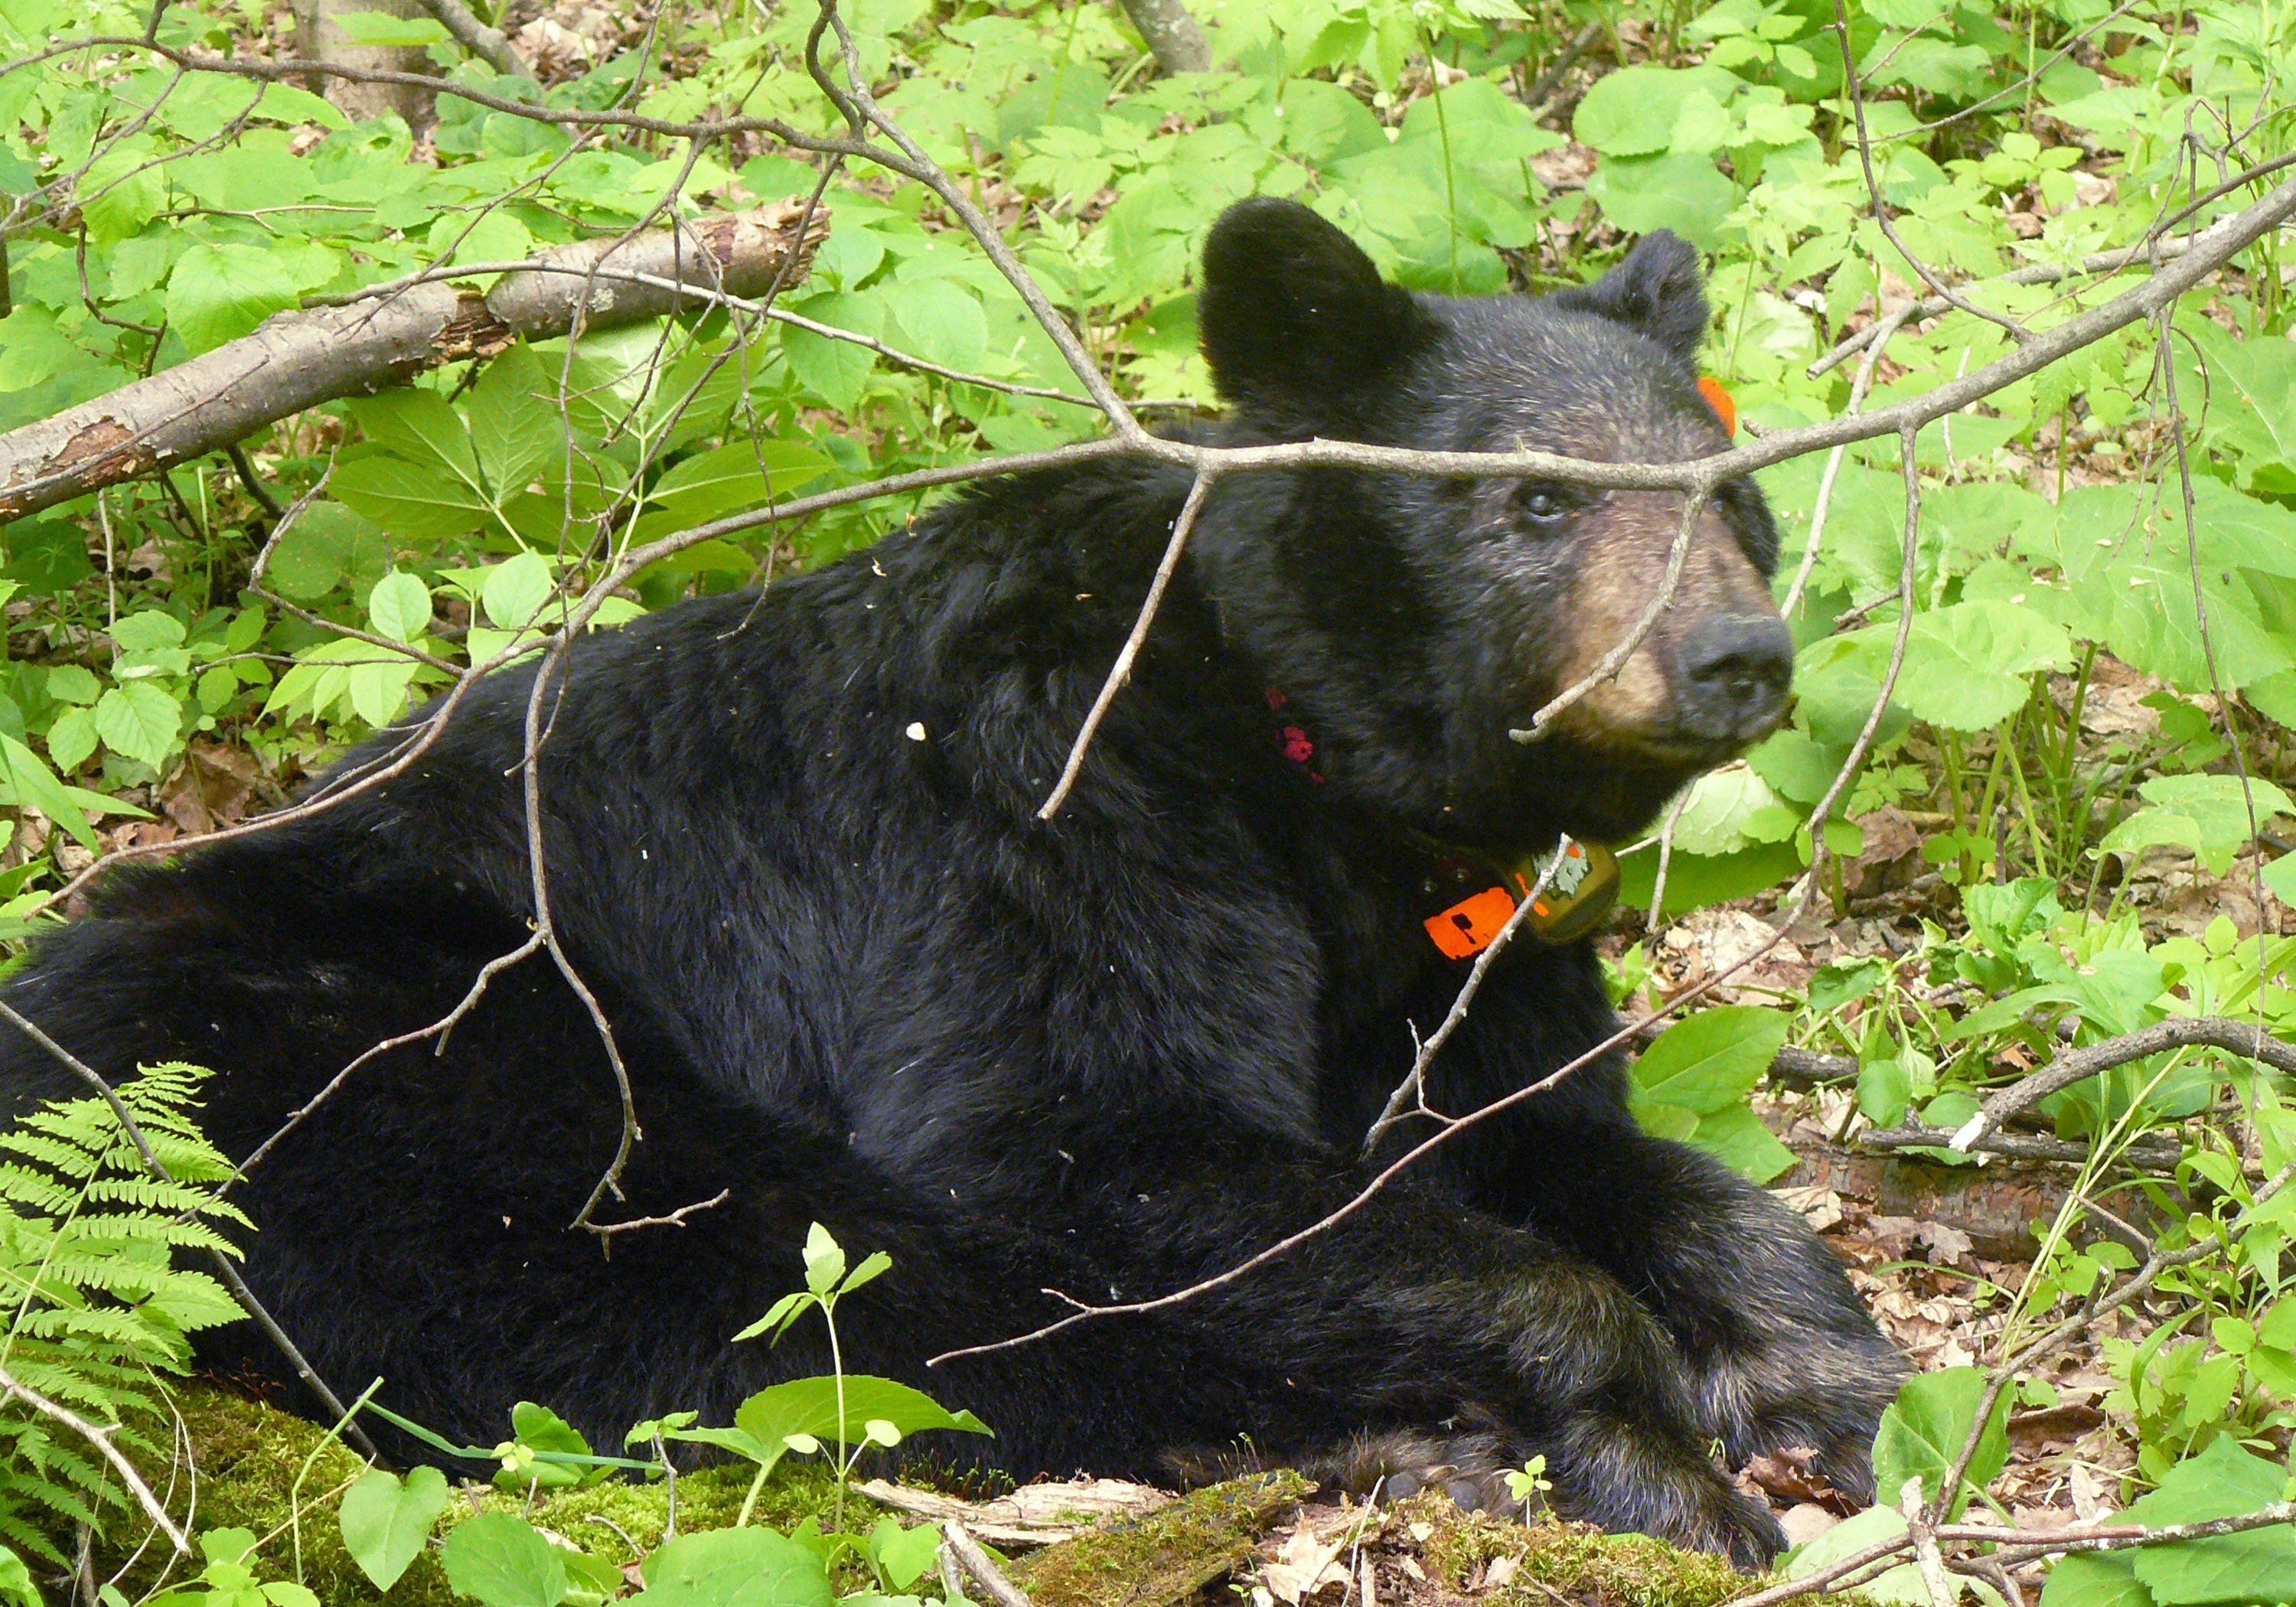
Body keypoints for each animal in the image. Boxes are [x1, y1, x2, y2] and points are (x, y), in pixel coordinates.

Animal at [0, 195, 1901, 1561]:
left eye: (1734, 492)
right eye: (1532, 502)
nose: (1737, 656)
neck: (1307, 764)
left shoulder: (1461, 954)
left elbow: (1582, 1147)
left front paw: (1814, 1357)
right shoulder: (1047, 808)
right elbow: (1091, 1143)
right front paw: (1652, 1447)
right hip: (400, 1070)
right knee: (798, 1308)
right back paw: (1389, 1440)